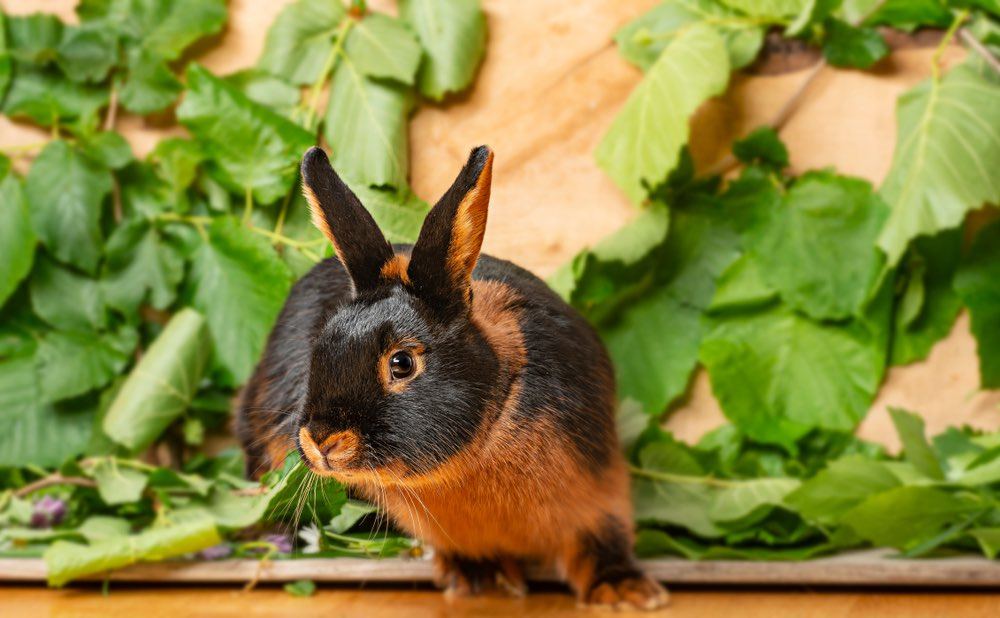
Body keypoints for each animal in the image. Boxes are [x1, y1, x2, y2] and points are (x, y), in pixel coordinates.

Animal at [236, 145, 668, 610]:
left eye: (402, 363)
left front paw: (627, 591)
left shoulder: (596, 487)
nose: (321, 440)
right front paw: (480, 578)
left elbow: (601, 538)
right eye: (320, 346)